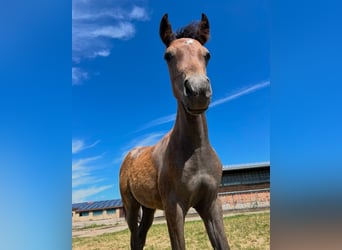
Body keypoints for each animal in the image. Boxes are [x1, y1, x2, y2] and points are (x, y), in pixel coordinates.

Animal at [119, 13, 230, 250]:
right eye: (167, 55)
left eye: (207, 54)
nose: (198, 90)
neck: (196, 152)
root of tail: (131, 154)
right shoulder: (174, 208)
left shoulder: (211, 204)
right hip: (131, 207)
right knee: (134, 237)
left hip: (149, 208)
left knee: (140, 237)